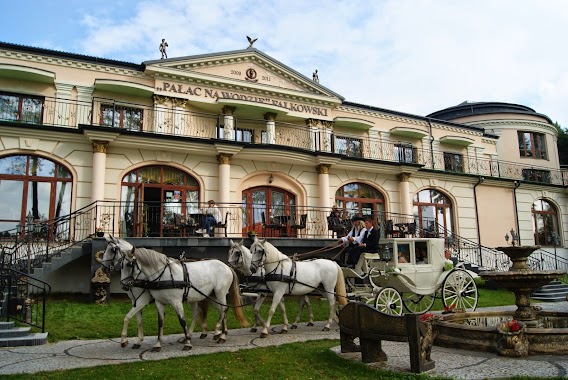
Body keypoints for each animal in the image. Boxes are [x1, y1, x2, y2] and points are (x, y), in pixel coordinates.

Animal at [106, 238, 248, 350]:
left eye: (130, 264)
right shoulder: (157, 302)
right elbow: (157, 322)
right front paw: (157, 344)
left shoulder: (172, 301)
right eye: (121, 264)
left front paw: (188, 344)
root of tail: (226, 266)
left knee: (224, 310)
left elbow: (182, 321)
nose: (124, 285)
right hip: (211, 296)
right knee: (218, 311)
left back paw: (221, 334)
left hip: (220, 293)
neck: (161, 275)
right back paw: (219, 332)